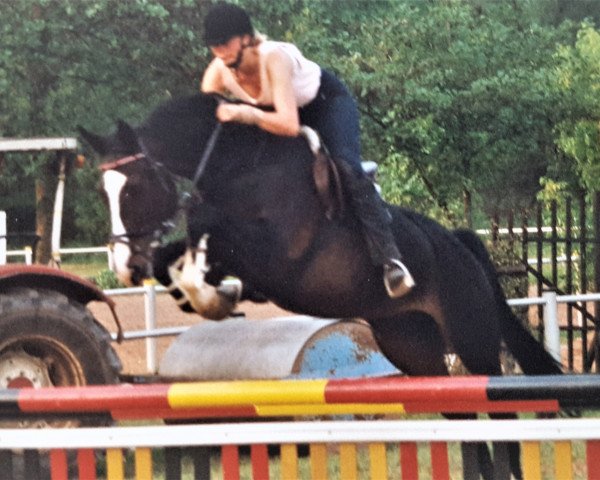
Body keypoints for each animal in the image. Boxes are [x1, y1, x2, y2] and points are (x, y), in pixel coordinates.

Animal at [82, 94, 564, 480]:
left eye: (134, 189)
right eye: (102, 192)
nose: (124, 266)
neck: (239, 171)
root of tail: (461, 246)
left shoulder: (276, 256)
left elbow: (211, 233)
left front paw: (211, 292)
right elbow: (181, 254)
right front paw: (202, 292)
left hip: (472, 339)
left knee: (502, 414)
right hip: (414, 348)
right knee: (465, 418)